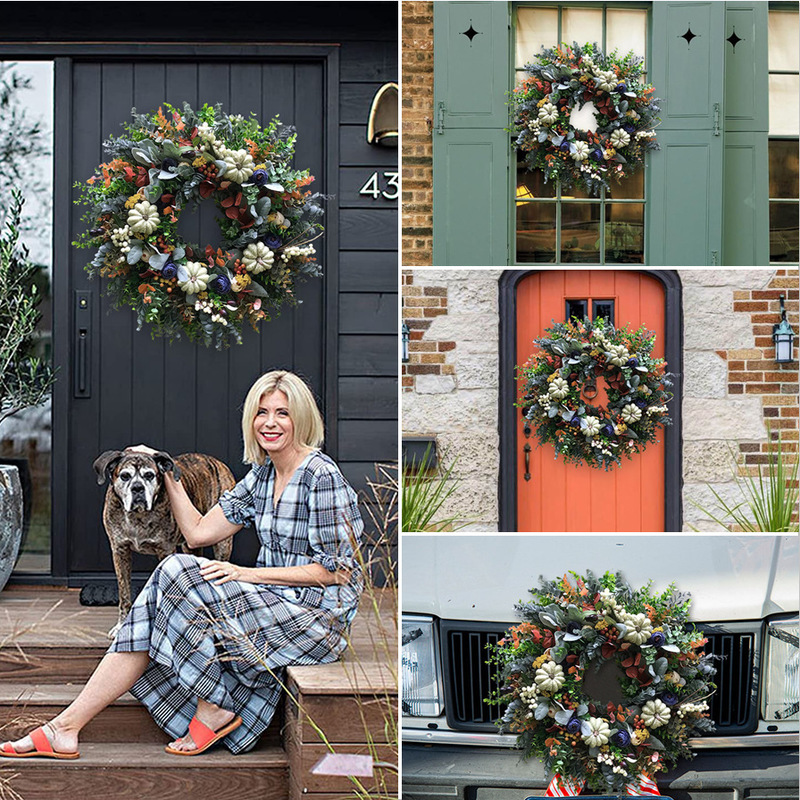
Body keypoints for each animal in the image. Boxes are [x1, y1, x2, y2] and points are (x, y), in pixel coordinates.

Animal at [93, 450, 236, 636]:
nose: (137, 487)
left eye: (149, 475)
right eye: (124, 476)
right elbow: (124, 593)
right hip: (190, 545)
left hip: (223, 544)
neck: (138, 516)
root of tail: (218, 462)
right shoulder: (120, 551)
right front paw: (121, 626)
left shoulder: (165, 551)